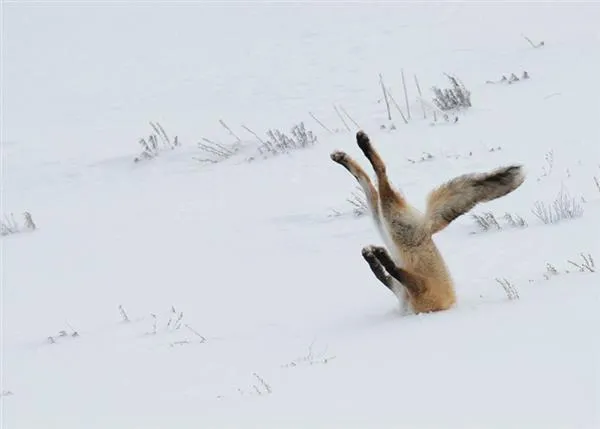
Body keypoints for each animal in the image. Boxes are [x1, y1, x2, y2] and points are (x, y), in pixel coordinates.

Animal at [328, 130, 524, 314]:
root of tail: (427, 227)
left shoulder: (418, 289)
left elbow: (391, 271)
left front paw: (378, 256)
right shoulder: (407, 289)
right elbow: (383, 274)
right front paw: (373, 257)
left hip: (391, 221)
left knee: (380, 175)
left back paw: (361, 145)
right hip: (384, 222)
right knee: (369, 182)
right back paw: (345, 156)